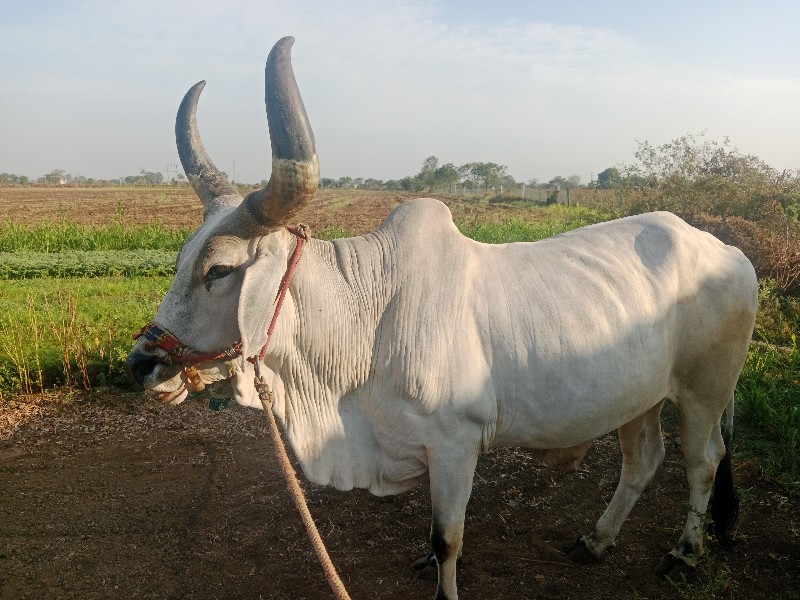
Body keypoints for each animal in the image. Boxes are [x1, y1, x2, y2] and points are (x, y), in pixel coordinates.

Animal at [125, 38, 756, 600]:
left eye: (219, 270)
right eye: (182, 259)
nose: (142, 363)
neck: (367, 322)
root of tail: (727, 250)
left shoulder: (456, 444)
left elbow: (448, 539)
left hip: (704, 390)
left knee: (703, 463)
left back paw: (683, 553)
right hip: (639, 395)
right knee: (642, 461)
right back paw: (597, 541)